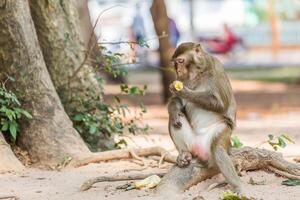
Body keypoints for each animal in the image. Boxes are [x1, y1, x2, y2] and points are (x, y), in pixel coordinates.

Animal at [166, 42, 244, 194]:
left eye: (181, 61)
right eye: (175, 64)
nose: (178, 70)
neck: (197, 72)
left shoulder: (216, 68)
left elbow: (221, 104)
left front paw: (183, 91)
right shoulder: (181, 79)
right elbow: (177, 102)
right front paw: (174, 110)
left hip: (220, 133)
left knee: (218, 149)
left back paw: (238, 185)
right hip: (192, 144)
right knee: (174, 121)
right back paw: (183, 154)